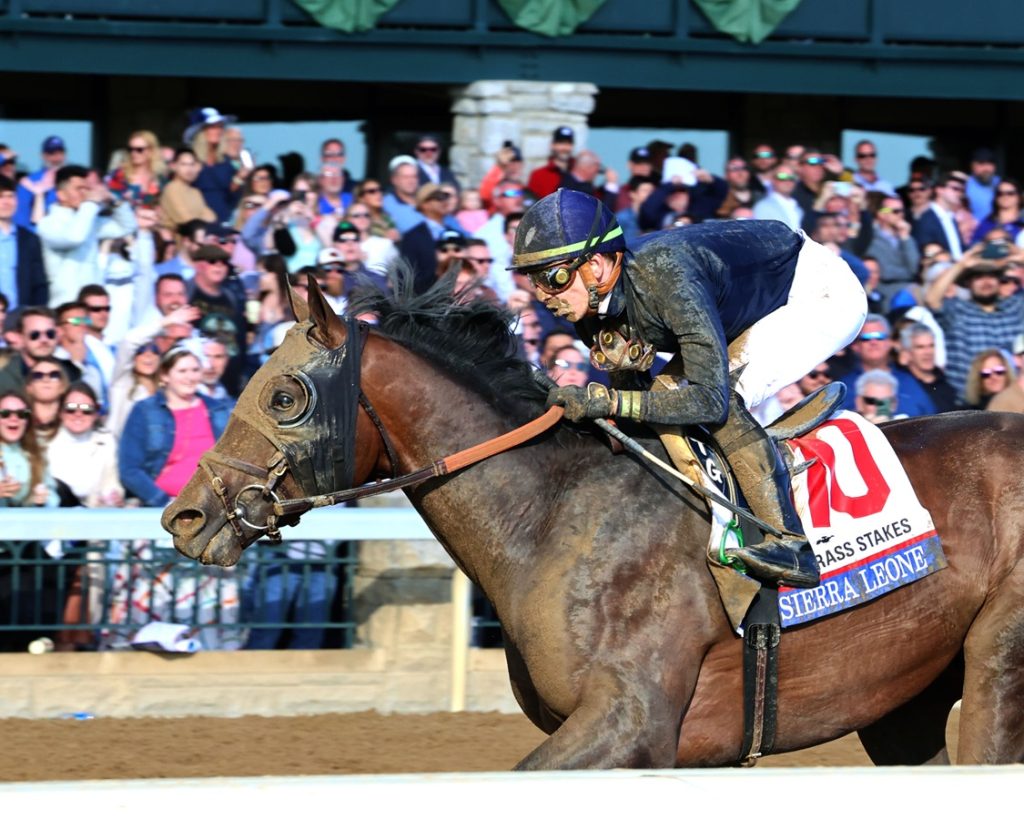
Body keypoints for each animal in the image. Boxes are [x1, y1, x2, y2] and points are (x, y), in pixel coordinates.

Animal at [161, 278, 1024, 769]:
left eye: (285, 396)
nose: (185, 513)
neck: (553, 516)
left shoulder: (632, 719)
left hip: (996, 660)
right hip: (904, 699)